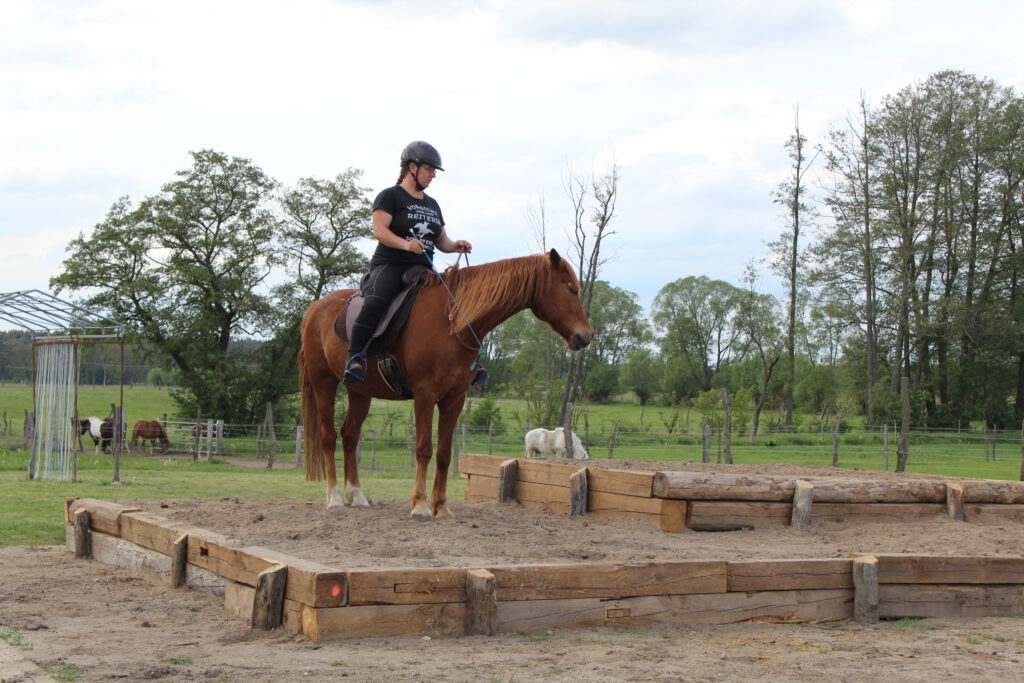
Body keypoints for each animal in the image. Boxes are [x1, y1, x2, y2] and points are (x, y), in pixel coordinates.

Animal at [299, 249, 598, 518]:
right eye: (572, 289)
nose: (587, 335)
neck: (453, 321)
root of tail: (316, 308)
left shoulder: (454, 398)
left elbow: (444, 453)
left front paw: (441, 507)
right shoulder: (424, 395)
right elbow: (423, 449)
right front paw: (420, 505)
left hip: (360, 391)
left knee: (350, 435)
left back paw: (357, 495)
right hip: (323, 383)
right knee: (329, 437)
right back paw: (334, 498)